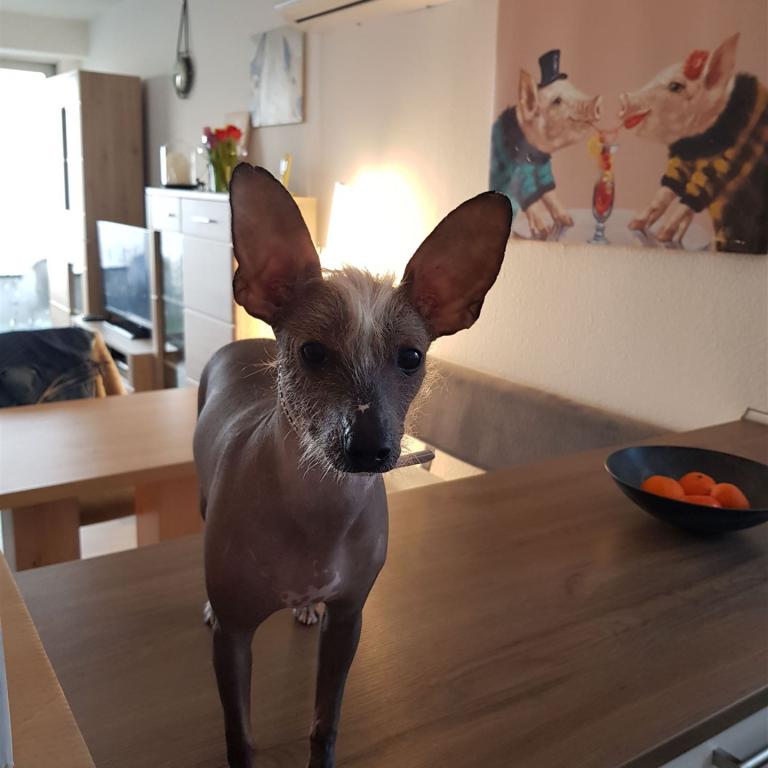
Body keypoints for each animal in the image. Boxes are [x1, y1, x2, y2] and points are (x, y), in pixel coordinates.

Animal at [193, 164, 512, 768]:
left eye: (411, 357)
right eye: (312, 352)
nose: (368, 448)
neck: (318, 511)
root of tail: (241, 348)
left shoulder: (349, 621)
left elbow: (326, 722)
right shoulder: (233, 639)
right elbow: (239, 737)